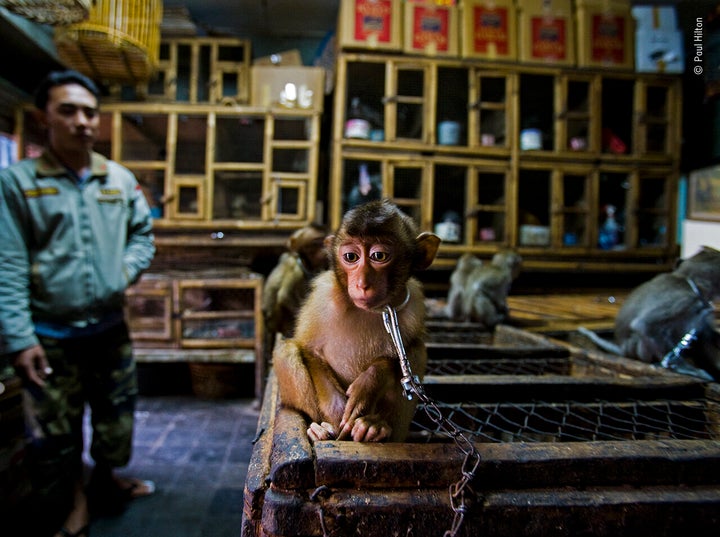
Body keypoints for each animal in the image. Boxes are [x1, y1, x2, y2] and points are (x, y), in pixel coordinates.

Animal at [274, 199, 438, 442]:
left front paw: (370, 382)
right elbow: (309, 349)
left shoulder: (413, 304)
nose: (362, 283)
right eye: (351, 257)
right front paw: (337, 410)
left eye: (379, 256)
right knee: (286, 350)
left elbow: (402, 353)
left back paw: (375, 427)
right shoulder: (321, 297)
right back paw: (319, 428)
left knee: (417, 351)